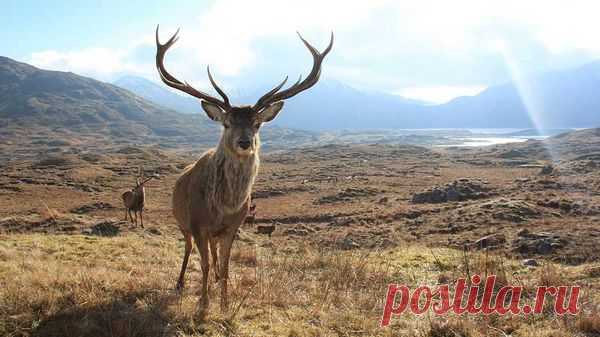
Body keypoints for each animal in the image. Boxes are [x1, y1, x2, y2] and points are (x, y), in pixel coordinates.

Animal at [157, 26, 330, 312]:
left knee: (213, 253)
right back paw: (180, 283)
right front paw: (203, 303)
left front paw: (225, 303)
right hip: (181, 222)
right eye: (226, 123)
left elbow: (226, 265)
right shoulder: (197, 223)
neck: (223, 206)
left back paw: (215, 280)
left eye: (257, 124)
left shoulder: (232, 227)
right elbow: (203, 264)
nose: (244, 142)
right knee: (188, 249)